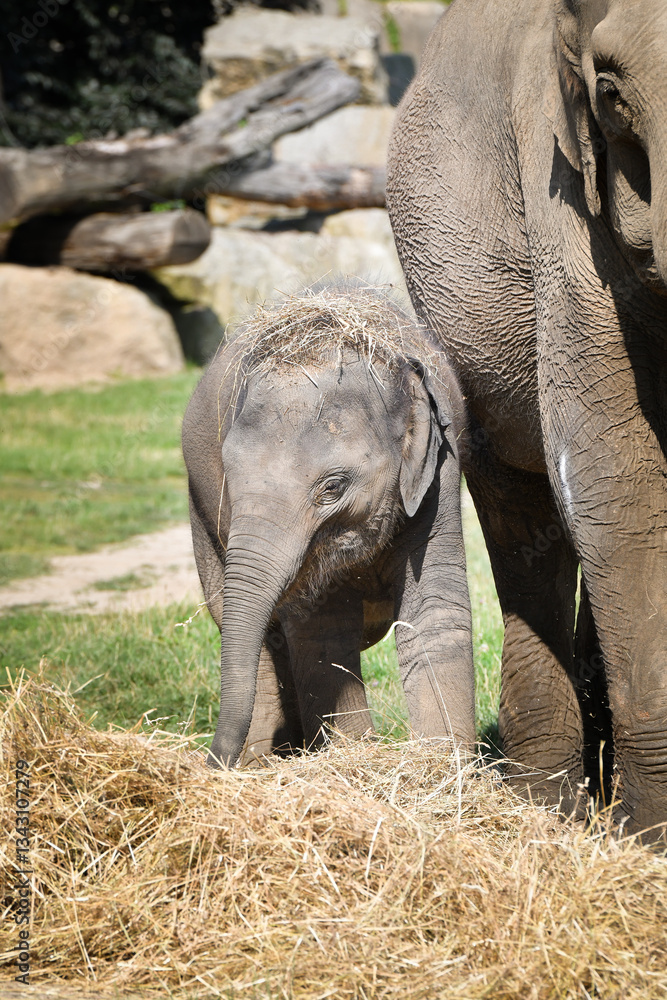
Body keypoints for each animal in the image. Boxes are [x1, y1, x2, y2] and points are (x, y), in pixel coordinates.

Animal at [182, 286, 474, 768]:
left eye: (333, 487)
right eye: (229, 481)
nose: (210, 765)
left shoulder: (438, 475)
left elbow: (432, 614)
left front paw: (444, 771)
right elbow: (322, 630)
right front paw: (352, 759)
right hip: (199, 517)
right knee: (241, 623)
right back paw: (263, 759)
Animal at [387, 0, 667, 837]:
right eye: (609, 94)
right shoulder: (562, 193)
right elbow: (614, 471)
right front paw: (649, 839)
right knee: (522, 519)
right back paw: (548, 804)